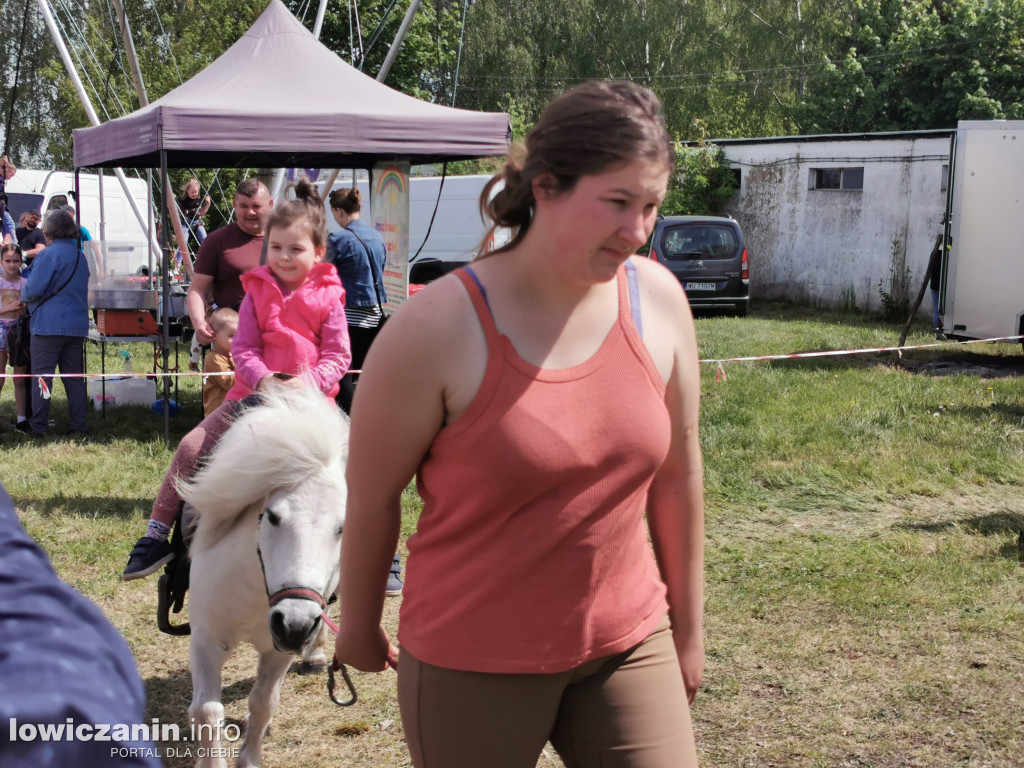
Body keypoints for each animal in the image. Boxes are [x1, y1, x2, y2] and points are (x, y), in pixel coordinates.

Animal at [178, 387, 350, 768]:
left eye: (342, 528)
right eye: (272, 516)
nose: (295, 625)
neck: (256, 588)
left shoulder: (277, 652)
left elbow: (262, 703)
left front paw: (250, 758)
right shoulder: (206, 640)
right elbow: (207, 710)